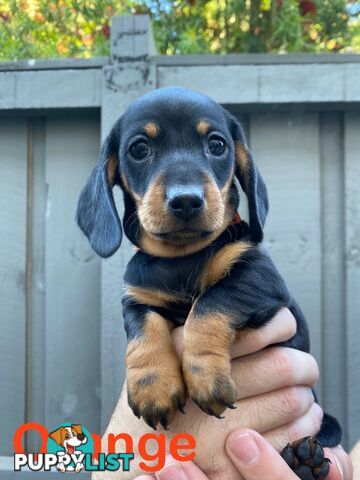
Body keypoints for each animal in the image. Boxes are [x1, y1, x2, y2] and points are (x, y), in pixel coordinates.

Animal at [77, 87, 342, 480]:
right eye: (139, 149)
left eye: (216, 145)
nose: (186, 200)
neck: (181, 257)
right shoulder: (137, 296)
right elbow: (142, 328)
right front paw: (152, 385)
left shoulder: (258, 276)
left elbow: (210, 303)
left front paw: (205, 375)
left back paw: (303, 460)